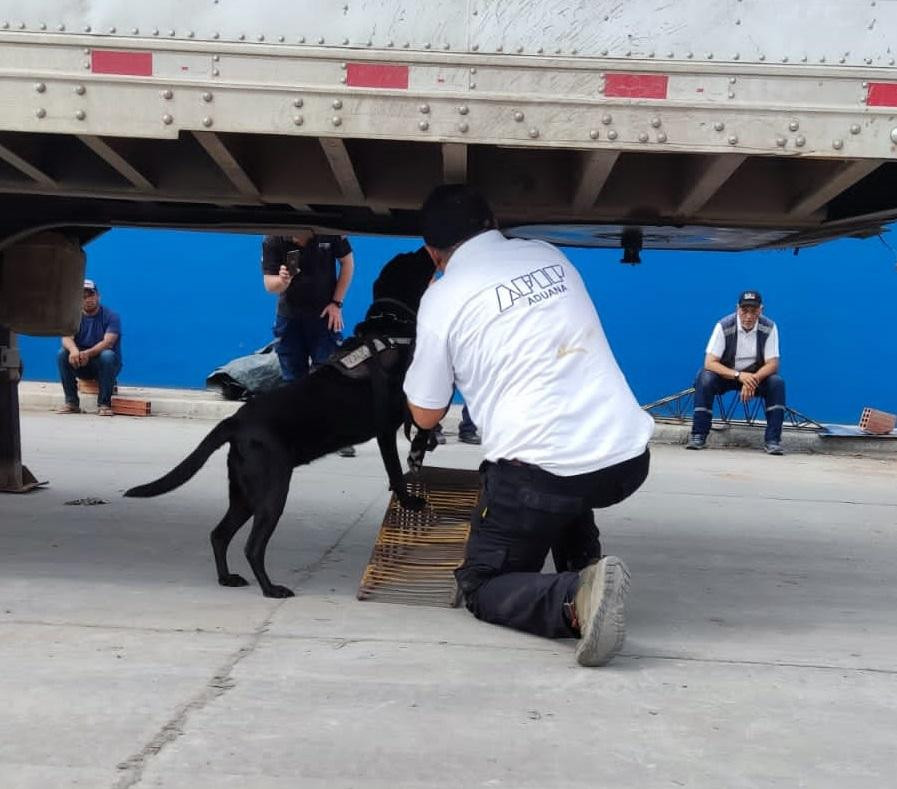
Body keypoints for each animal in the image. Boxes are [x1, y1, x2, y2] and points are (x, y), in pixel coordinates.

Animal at [125, 249, 434, 596]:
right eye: (413, 258)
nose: (424, 248)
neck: (388, 328)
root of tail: (235, 420)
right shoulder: (386, 429)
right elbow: (396, 471)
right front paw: (409, 500)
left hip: (245, 494)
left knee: (219, 534)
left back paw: (227, 578)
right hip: (272, 492)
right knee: (252, 546)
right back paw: (271, 588)